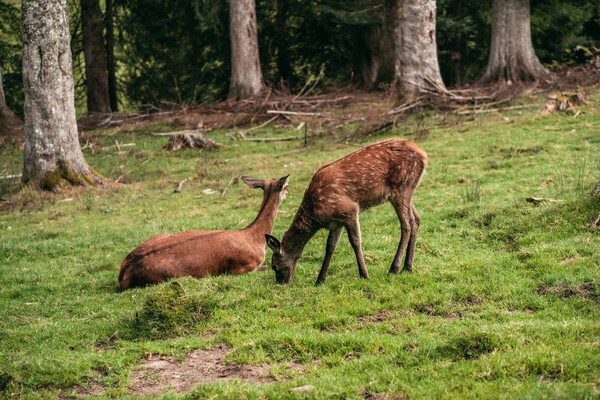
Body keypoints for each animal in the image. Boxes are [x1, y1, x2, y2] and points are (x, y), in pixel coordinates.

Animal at [266, 139, 426, 286]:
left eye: (274, 265)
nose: (281, 283)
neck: (316, 213)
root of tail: (423, 155)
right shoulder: (336, 221)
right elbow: (330, 246)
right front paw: (320, 280)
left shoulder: (349, 210)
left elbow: (355, 241)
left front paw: (364, 275)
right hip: (405, 191)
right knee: (416, 219)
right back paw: (408, 266)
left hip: (401, 188)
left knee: (406, 225)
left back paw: (394, 268)